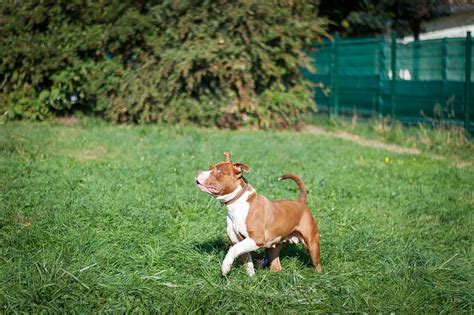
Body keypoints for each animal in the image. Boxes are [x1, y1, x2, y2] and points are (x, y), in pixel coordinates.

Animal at [193, 153, 322, 276]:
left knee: (317, 263)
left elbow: (233, 250)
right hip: (273, 248)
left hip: (312, 243)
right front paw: (251, 277)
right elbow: (247, 260)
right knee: (276, 265)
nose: (198, 172)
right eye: (210, 168)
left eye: (218, 171)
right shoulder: (238, 240)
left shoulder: (255, 239)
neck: (237, 203)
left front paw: (226, 266)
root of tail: (300, 203)